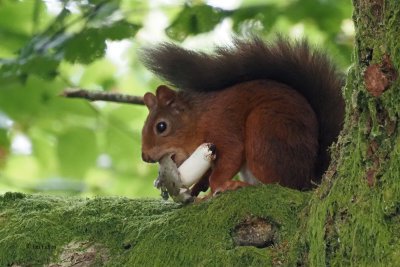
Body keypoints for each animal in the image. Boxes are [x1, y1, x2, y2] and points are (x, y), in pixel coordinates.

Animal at [140, 36, 344, 198]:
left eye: (161, 127)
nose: (145, 157)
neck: (199, 120)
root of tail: (309, 178)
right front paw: (197, 188)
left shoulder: (223, 126)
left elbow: (231, 155)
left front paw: (220, 186)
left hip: (264, 129)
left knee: (277, 184)